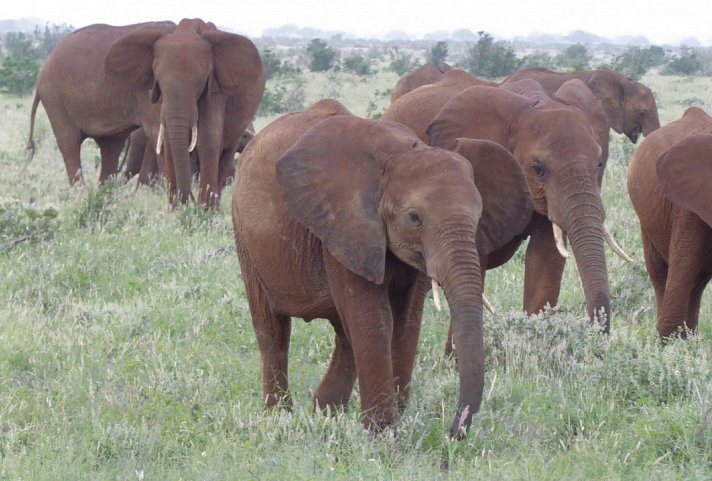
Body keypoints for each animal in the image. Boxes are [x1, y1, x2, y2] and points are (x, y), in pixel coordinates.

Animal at [26, 18, 268, 208]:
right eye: (157, 81)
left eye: (201, 82)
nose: (186, 201)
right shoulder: (148, 93)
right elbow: (161, 134)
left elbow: (206, 138)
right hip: (54, 96)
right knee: (70, 143)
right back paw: (81, 197)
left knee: (110, 147)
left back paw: (106, 196)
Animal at [231, 99, 532, 436]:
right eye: (414, 218)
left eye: (479, 217)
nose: (454, 431)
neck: (397, 155)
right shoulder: (345, 223)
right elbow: (373, 318)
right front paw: (383, 432)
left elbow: (406, 320)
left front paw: (393, 422)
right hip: (244, 234)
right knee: (272, 329)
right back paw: (279, 417)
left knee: (344, 332)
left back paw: (325, 412)